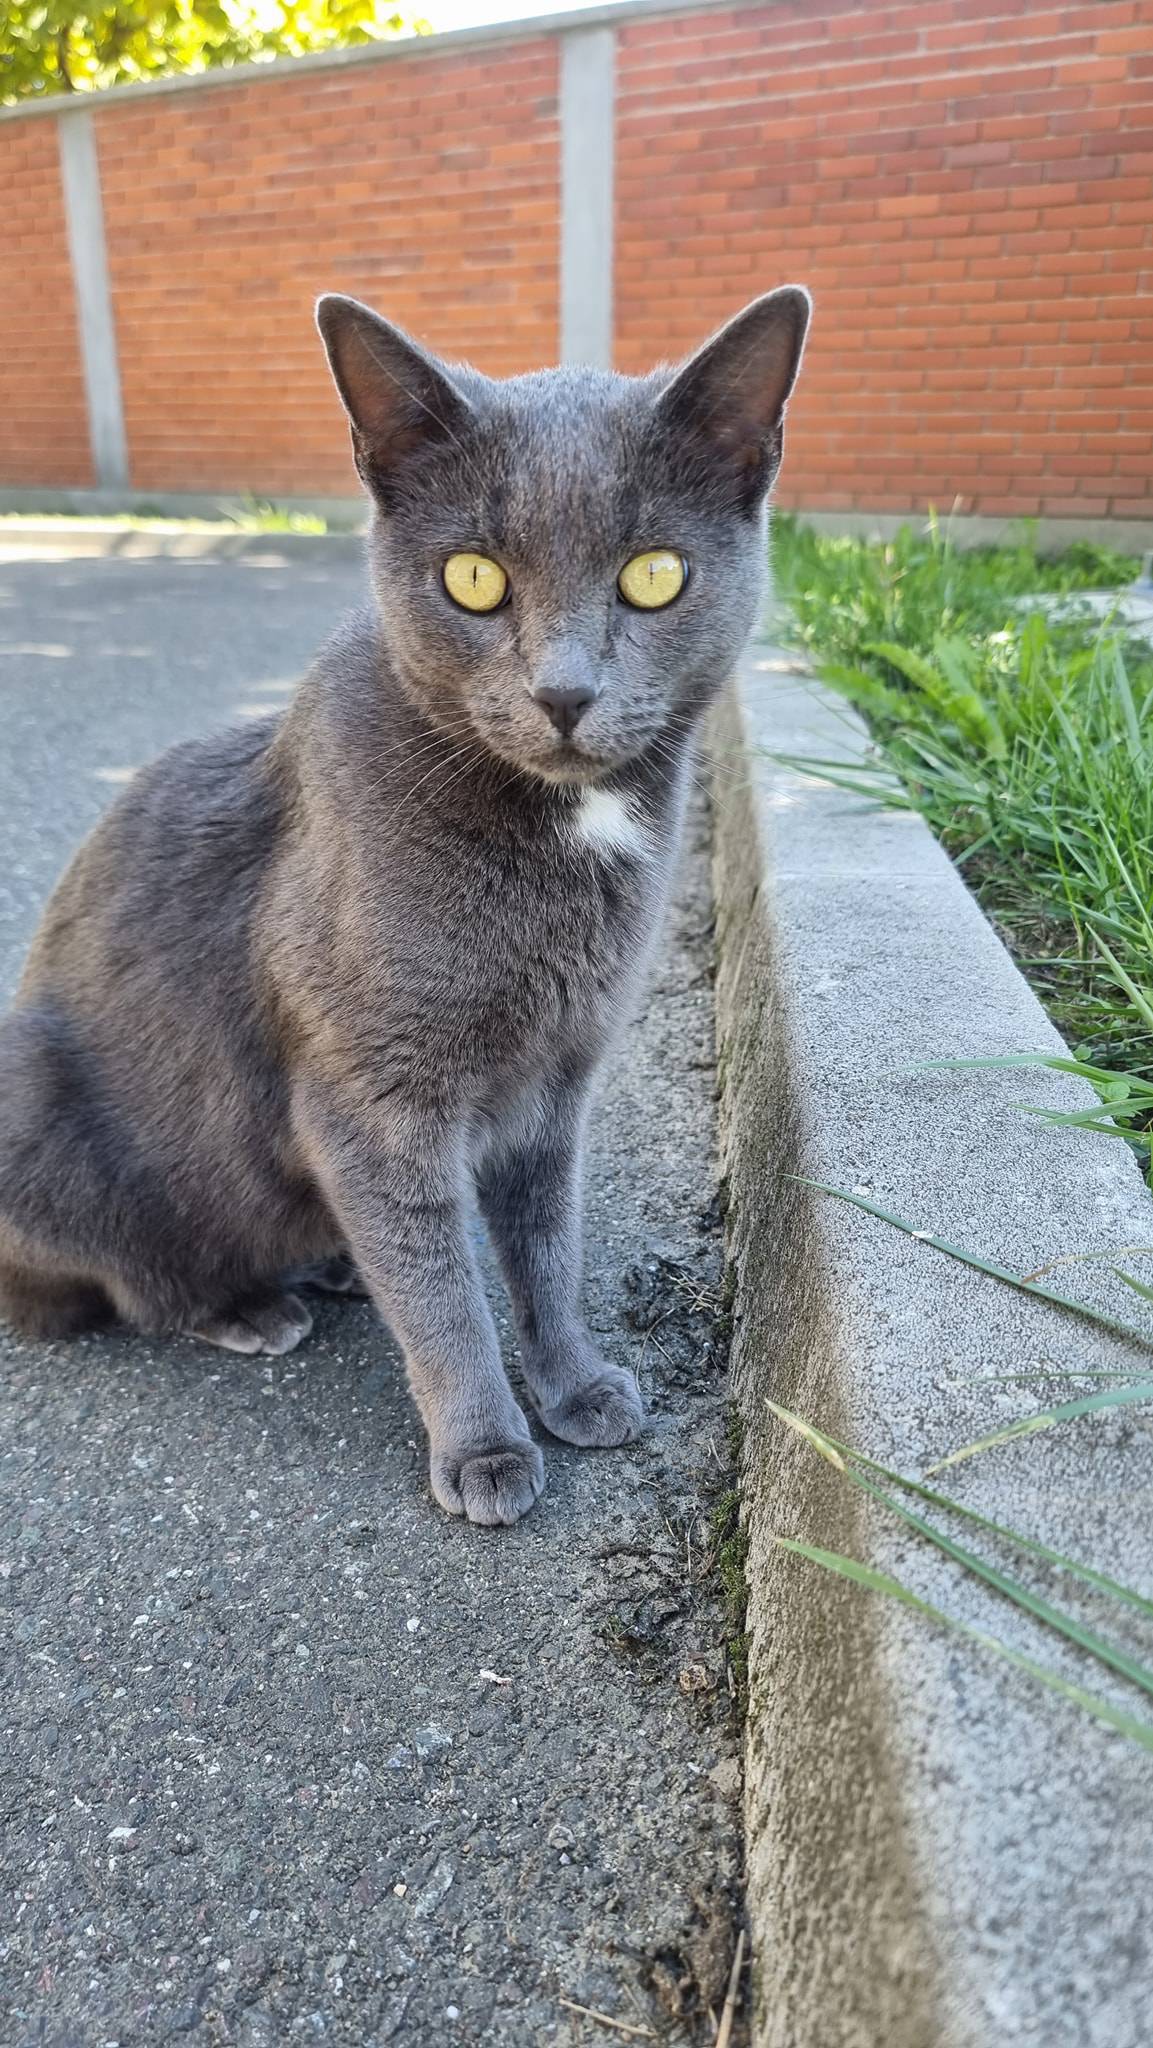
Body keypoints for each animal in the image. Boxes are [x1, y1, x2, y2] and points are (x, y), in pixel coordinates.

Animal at [0, 288, 810, 1523]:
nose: (564, 692)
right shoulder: (371, 1097)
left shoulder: (555, 1081)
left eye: (654, 575)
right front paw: (484, 1447)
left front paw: (574, 1384)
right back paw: (251, 1305)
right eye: (472, 578)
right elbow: (441, 1291)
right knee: (132, 1280)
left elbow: (544, 1251)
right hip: (38, 1099)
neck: (563, 834)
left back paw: (333, 1259)